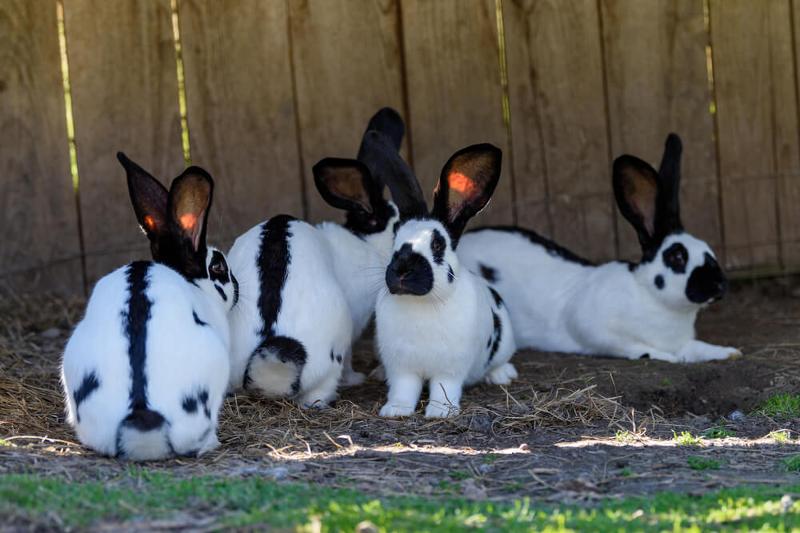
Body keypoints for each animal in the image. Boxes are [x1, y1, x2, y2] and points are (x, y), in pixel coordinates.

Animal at [372, 138, 516, 420]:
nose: (402, 270)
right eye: (395, 241)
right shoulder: (402, 368)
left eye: (437, 244)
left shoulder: (449, 370)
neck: (422, 303)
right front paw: (395, 410)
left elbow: (443, 389)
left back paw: (502, 375)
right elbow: (403, 389)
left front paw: (440, 413)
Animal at [460, 135, 740, 364]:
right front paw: (661, 355)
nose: (719, 285)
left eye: (708, 249)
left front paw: (729, 352)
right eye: (678, 256)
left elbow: (696, 347)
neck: (650, 297)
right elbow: (631, 346)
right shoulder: (593, 327)